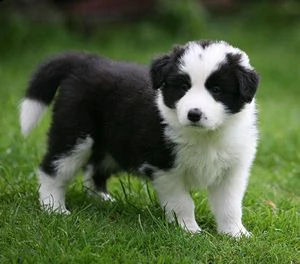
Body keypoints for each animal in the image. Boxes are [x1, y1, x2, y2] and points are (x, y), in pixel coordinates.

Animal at [20, 40, 260, 237]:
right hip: (76, 132)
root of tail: (87, 62)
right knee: (53, 168)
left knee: (93, 169)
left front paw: (235, 234)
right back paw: (55, 208)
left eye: (217, 90)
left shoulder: (232, 170)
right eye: (184, 87)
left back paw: (101, 199)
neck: (206, 135)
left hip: (113, 143)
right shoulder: (165, 167)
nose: (194, 114)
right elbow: (182, 202)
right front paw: (188, 230)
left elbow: (230, 205)